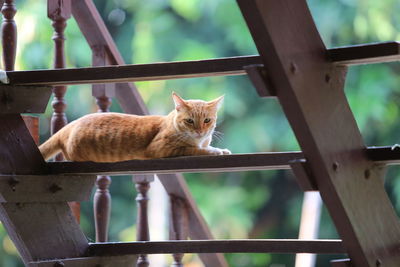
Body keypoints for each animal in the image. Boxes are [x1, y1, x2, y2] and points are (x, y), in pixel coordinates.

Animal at [39, 93, 231, 162]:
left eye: (207, 120)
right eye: (190, 121)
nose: (199, 131)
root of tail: (69, 126)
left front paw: (221, 149)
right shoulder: (160, 148)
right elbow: (194, 150)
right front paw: (214, 151)